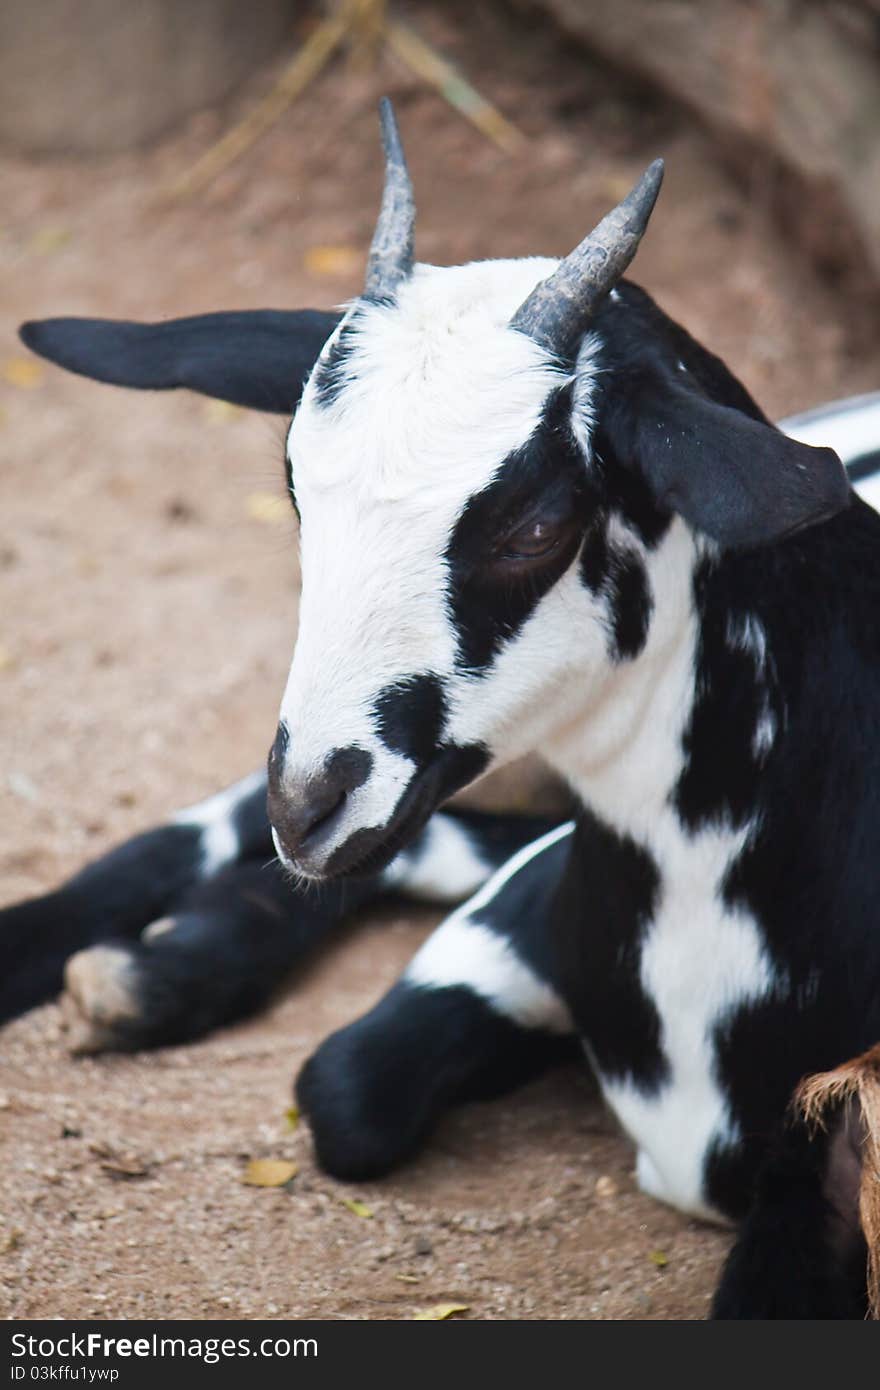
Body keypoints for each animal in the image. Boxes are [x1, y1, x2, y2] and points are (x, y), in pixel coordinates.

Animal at [5, 102, 878, 1317]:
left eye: (535, 524)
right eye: (293, 489)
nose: (310, 800)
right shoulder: (520, 910)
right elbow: (345, 1087)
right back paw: (124, 969)